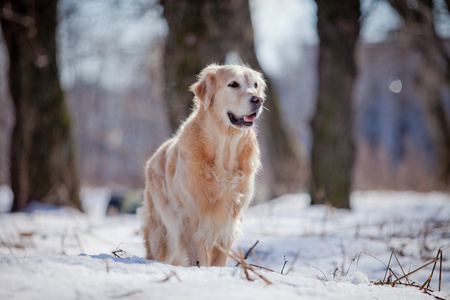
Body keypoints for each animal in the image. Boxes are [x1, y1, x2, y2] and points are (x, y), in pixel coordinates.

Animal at [139, 64, 266, 266]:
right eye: (233, 84)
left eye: (255, 85)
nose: (258, 100)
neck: (224, 153)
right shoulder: (193, 220)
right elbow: (199, 259)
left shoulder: (230, 221)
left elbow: (219, 259)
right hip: (161, 234)